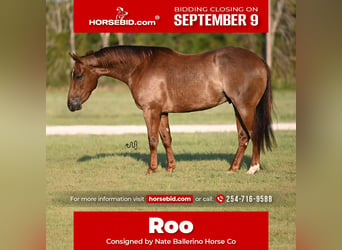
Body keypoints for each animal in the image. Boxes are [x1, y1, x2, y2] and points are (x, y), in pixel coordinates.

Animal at [67, 46, 276, 175]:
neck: (141, 67)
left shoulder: (150, 110)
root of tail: (259, 61)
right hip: (237, 108)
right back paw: (233, 168)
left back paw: (253, 168)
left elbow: (152, 140)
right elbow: (166, 138)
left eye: (78, 75)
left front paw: (151, 169)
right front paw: (170, 168)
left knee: (254, 134)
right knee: (243, 137)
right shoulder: (162, 112)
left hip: (245, 108)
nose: (71, 104)